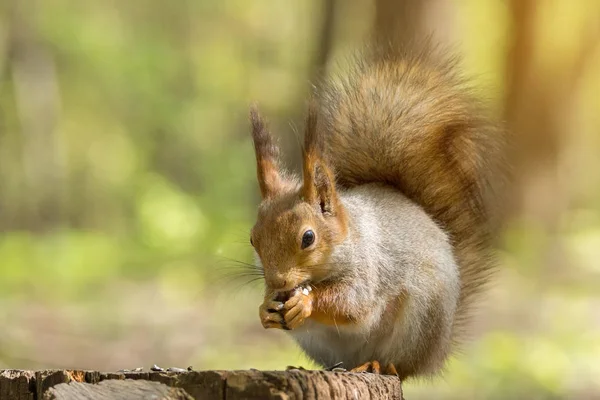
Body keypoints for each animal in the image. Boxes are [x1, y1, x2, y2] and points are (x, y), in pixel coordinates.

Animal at [246, 41, 504, 382]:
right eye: (253, 240)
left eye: (308, 237)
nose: (279, 282)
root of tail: (434, 354)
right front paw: (265, 308)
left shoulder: (370, 268)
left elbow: (353, 304)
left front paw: (307, 301)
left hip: (419, 320)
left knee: (400, 368)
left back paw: (379, 365)